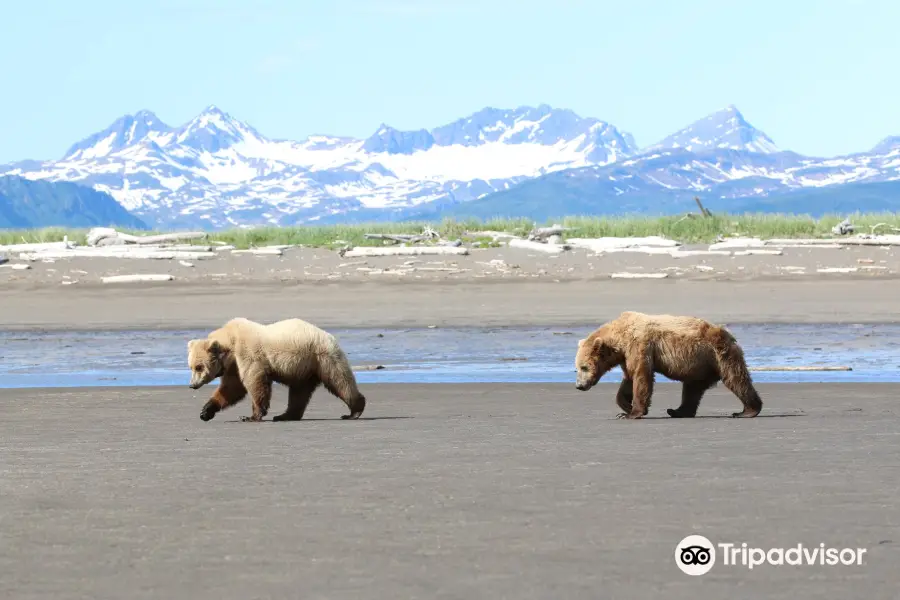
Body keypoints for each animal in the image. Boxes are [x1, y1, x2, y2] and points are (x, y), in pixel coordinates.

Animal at [185, 318, 368, 422]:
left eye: (199, 367)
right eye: (191, 366)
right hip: (303, 369)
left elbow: (254, 382)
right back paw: (284, 416)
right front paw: (205, 411)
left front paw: (250, 416)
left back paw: (354, 411)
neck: (231, 344)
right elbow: (230, 389)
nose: (192, 385)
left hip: (321, 357)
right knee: (299, 393)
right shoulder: (233, 366)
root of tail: (329, 336)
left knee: (339, 381)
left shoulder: (247, 354)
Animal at [576, 312, 760, 420]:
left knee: (736, 378)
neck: (619, 339)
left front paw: (633, 413)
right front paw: (624, 408)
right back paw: (678, 411)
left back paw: (747, 411)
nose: (579, 386)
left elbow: (641, 376)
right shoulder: (626, 356)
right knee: (692, 389)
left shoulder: (640, 346)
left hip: (718, 355)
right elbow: (629, 378)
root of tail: (729, 335)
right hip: (699, 365)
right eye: (577, 367)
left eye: (584, 367)